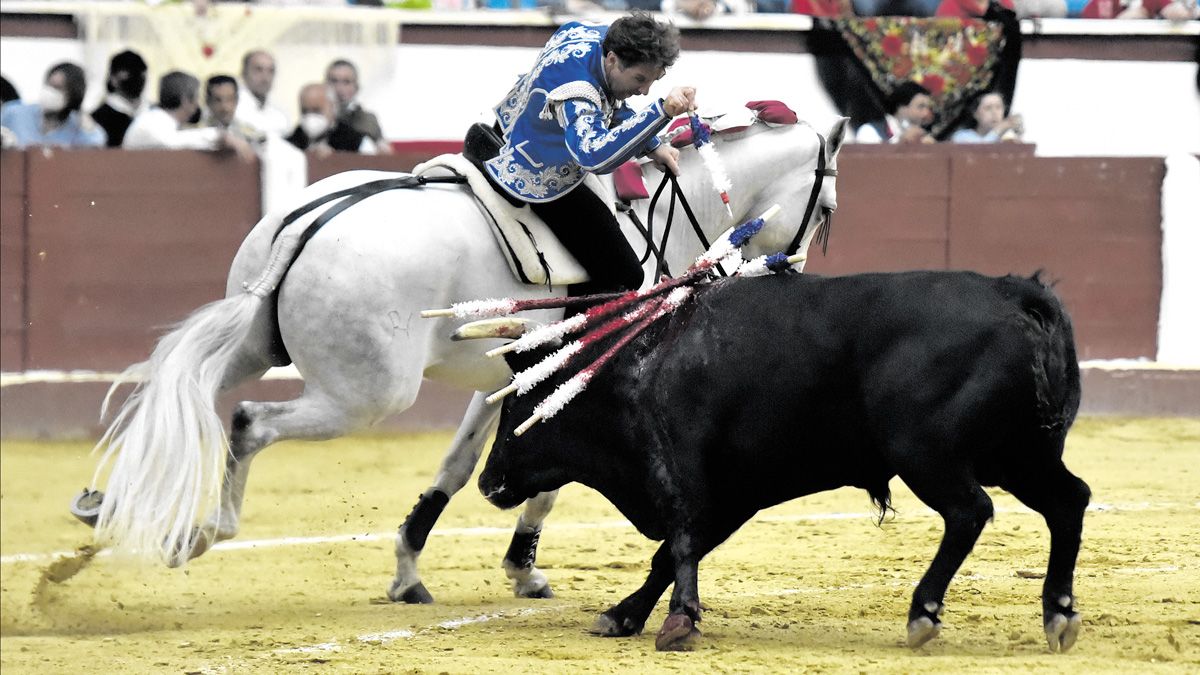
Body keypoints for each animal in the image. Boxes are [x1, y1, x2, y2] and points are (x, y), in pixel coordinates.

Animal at [82, 114, 844, 598]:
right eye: (828, 206)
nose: (794, 274)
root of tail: (313, 223)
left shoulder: (506, 377)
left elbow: (462, 463)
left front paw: (411, 567)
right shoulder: (584, 377)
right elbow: (548, 476)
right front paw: (521, 568)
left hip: (253, 341)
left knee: (182, 392)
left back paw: (105, 507)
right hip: (367, 394)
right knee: (246, 421)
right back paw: (205, 530)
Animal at [475, 269, 1089, 653]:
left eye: (517, 404)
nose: (487, 481)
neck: (640, 365)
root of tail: (1014, 295)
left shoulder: (684, 473)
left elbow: (678, 543)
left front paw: (679, 622)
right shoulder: (733, 493)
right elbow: (669, 554)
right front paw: (624, 616)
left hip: (930, 455)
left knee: (969, 512)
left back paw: (923, 614)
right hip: (1019, 456)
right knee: (1068, 500)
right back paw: (1058, 613)